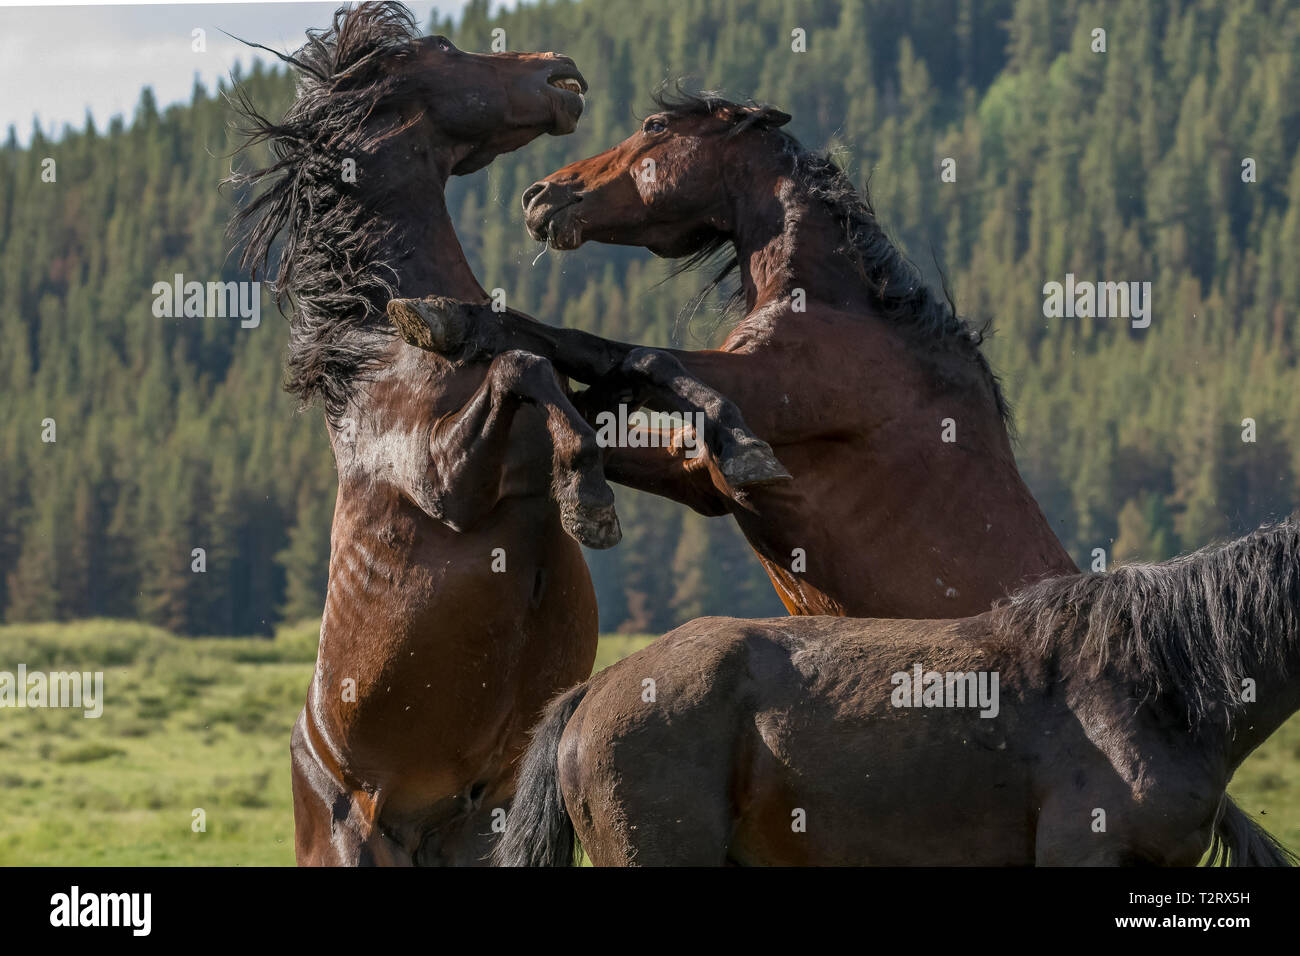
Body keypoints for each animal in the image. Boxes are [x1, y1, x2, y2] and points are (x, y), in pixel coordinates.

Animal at [228, 1, 774, 868]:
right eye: (446, 49)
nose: (562, 71)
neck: (385, 351)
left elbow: (628, 367)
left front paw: (744, 447)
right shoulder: (448, 485)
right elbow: (525, 365)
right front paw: (588, 502)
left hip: (473, 838)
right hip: (357, 846)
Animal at [392, 87, 1076, 613]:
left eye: (654, 127)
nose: (539, 196)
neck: (836, 305)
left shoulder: (780, 388)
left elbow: (649, 358)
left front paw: (742, 446)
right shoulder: (695, 473)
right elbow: (586, 350)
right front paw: (446, 318)